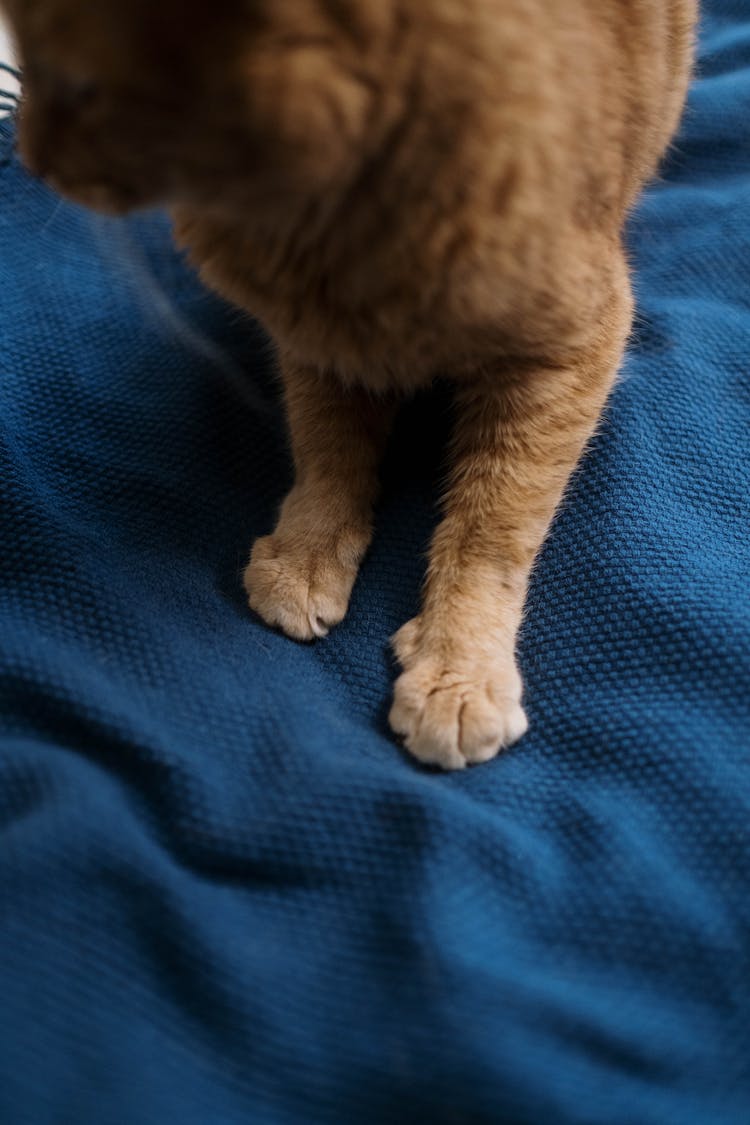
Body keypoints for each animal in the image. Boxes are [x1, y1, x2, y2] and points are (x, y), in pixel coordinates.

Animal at [4, 0, 697, 769]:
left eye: (78, 85)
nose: (28, 158)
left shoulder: (569, 349)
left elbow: (493, 522)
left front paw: (459, 668)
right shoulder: (318, 343)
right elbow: (326, 448)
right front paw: (307, 554)